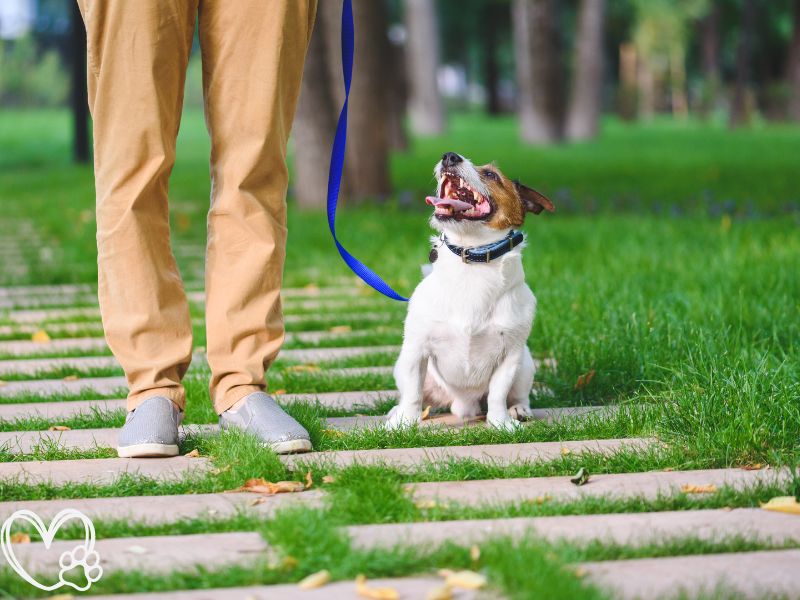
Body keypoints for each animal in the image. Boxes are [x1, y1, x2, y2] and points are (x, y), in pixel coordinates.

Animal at [386, 150, 552, 432]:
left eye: (492, 175)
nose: (449, 156)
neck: (472, 258)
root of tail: (463, 405)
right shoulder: (416, 350)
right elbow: (412, 394)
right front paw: (404, 424)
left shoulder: (510, 355)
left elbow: (498, 393)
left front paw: (500, 423)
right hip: (407, 366)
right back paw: (398, 412)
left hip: (525, 364)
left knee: (518, 395)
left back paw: (519, 410)